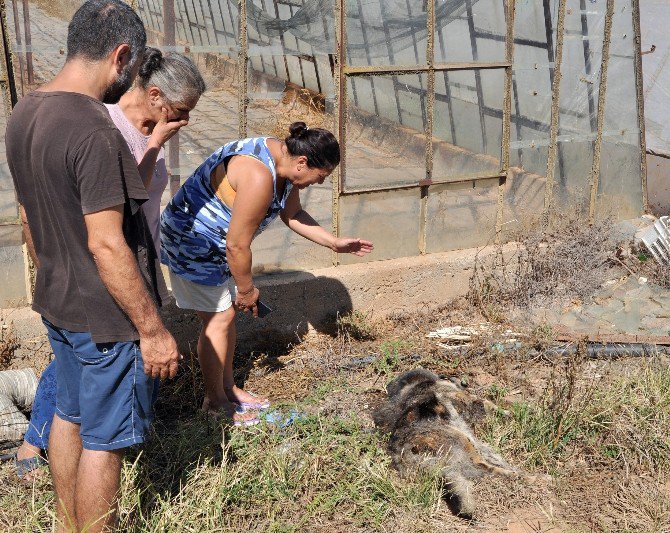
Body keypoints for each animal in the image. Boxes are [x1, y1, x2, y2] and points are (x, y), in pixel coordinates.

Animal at [376, 368, 524, 516]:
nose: (464, 383)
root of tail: (404, 452)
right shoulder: (466, 399)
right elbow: (487, 404)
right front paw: (511, 412)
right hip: (459, 440)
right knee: (481, 466)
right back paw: (518, 475)